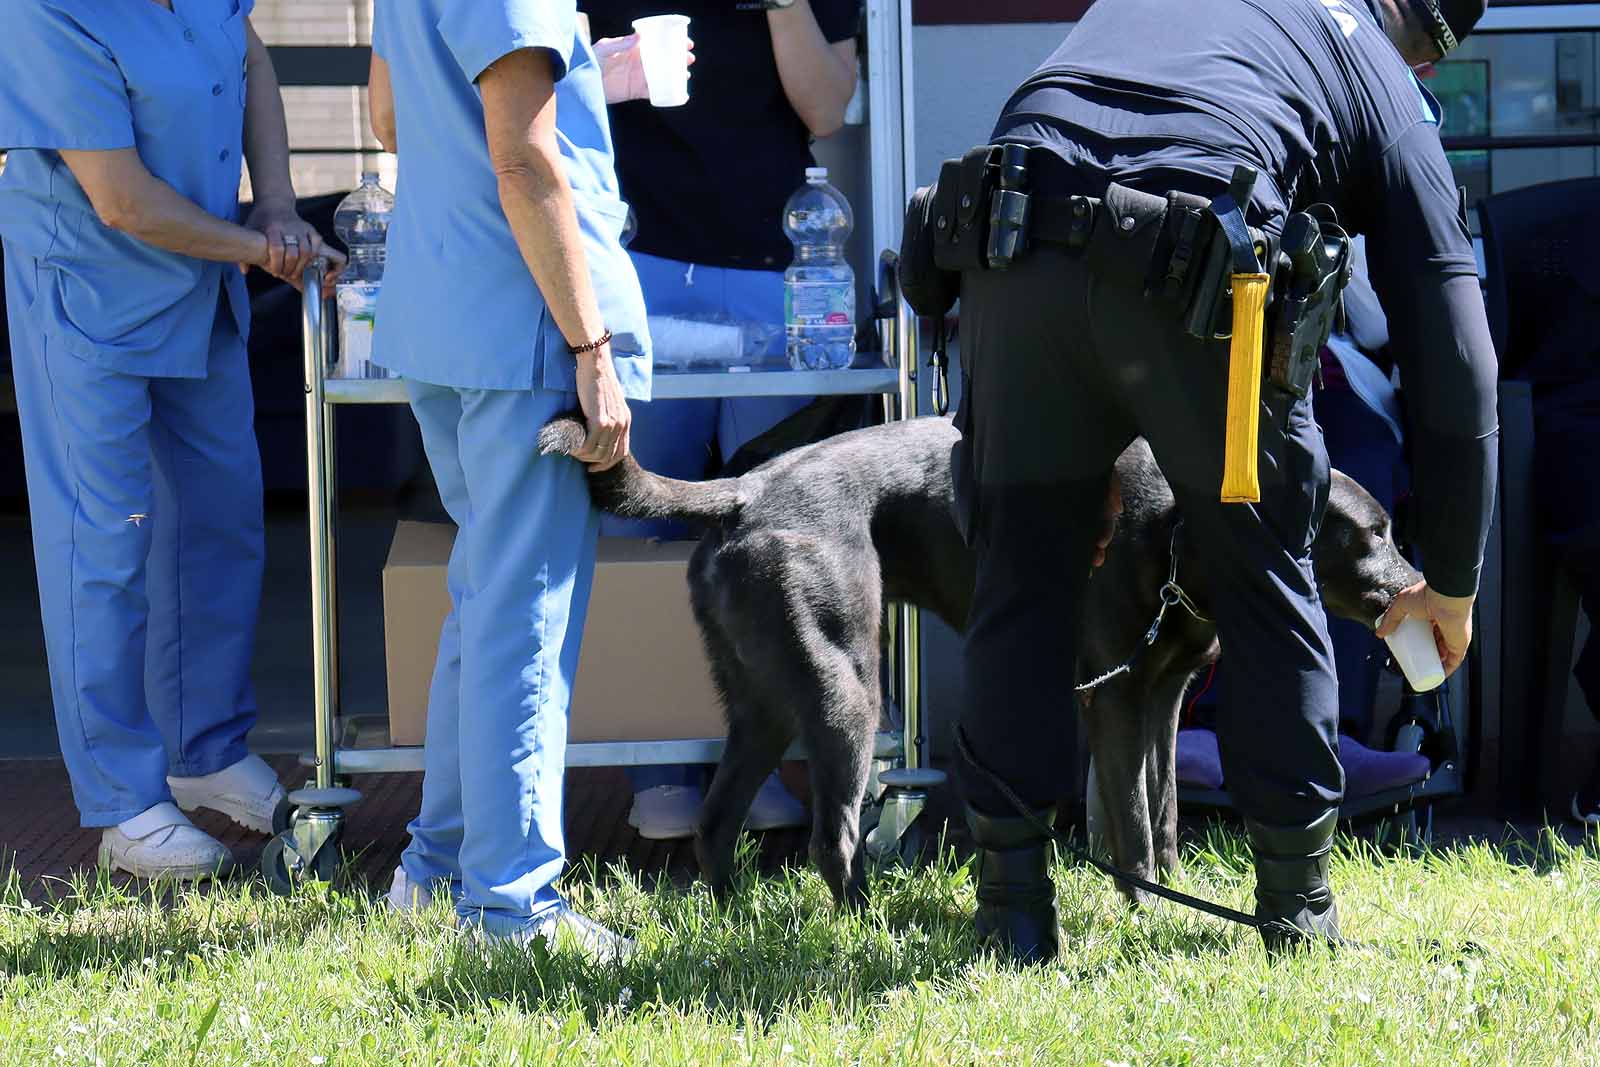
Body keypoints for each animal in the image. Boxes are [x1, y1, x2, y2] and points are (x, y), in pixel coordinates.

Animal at [537, 415, 1414, 908]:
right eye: (1374, 532)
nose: (1418, 585)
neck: (1173, 534)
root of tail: (744, 489)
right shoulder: (1116, 699)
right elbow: (1131, 818)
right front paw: (1146, 906)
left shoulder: (1164, 698)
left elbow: (1162, 808)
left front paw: (1172, 885)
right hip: (846, 692)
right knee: (832, 835)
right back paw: (870, 924)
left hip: (765, 703)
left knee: (717, 822)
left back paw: (735, 917)